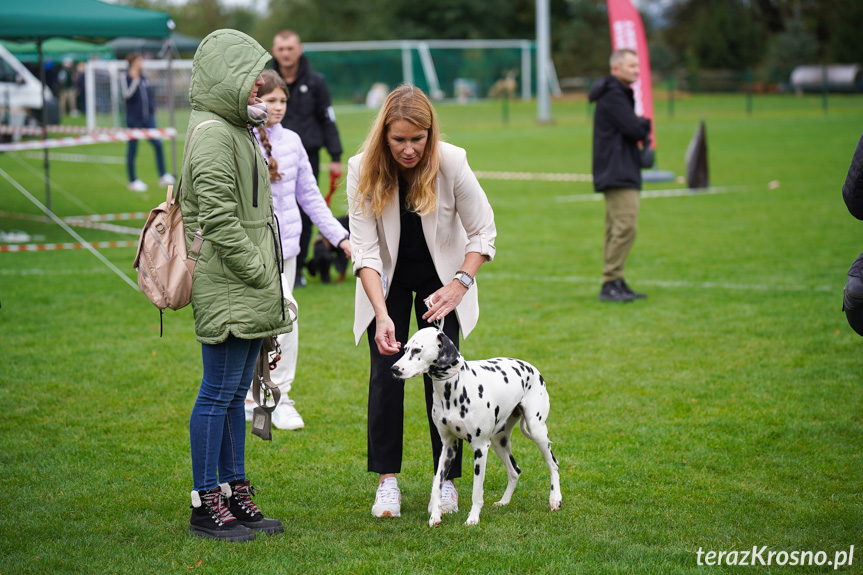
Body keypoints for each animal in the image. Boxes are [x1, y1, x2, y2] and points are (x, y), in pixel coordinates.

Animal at [394, 328, 568, 528]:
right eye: (405, 349)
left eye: (417, 350)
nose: (394, 369)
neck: (453, 389)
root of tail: (531, 368)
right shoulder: (448, 446)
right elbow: (437, 483)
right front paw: (435, 516)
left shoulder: (480, 448)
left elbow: (477, 491)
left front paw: (473, 518)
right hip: (499, 441)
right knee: (514, 471)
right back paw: (504, 501)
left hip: (537, 430)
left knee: (553, 464)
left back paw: (555, 499)